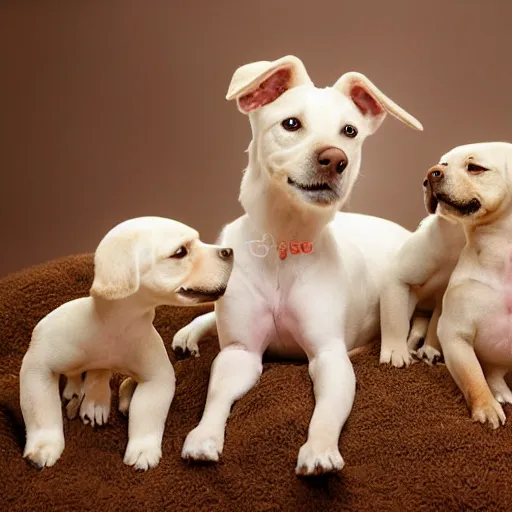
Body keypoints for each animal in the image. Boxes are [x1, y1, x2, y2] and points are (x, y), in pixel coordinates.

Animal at [18, 214, 234, 470]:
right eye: (180, 252)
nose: (229, 251)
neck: (115, 323)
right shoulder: (38, 365)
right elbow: (42, 411)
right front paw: (44, 445)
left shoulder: (157, 378)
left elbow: (147, 414)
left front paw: (143, 449)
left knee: (99, 372)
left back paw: (96, 401)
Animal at [170, 54, 422, 474]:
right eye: (291, 124)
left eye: (349, 131)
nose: (335, 159)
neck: (283, 246)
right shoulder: (240, 354)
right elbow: (217, 395)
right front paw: (203, 437)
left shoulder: (329, 356)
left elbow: (326, 412)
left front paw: (319, 450)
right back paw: (189, 334)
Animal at [378, 172, 466, 368]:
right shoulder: (395, 278)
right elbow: (394, 322)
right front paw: (395, 352)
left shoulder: (442, 298)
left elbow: (435, 325)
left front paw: (430, 349)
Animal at [428, 142, 512, 430]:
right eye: (442, 163)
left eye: (475, 168)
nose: (432, 172)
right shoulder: (456, 335)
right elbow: (474, 378)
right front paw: (486, 407)